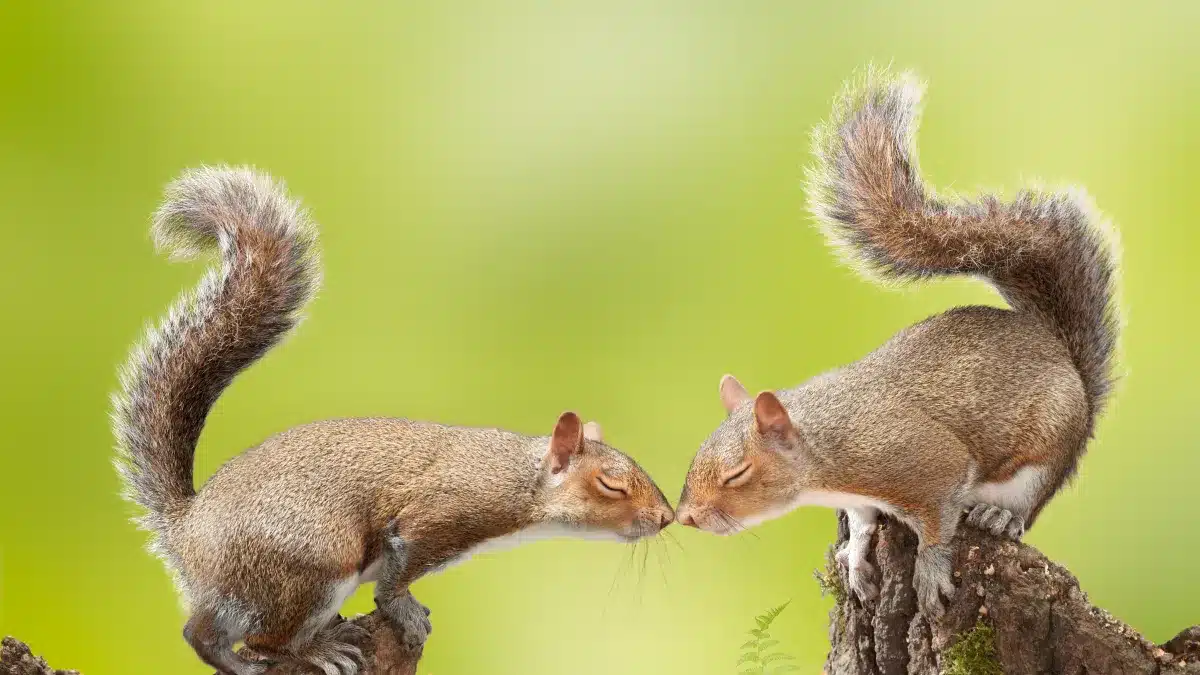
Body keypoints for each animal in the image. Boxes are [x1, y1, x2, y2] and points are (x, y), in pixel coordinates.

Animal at [111, 167, 675, 675]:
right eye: (610, 484)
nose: (667, 518)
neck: (517, 479)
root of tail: (187, 532)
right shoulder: (436, 516)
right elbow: (395, 578)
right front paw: (404, 611)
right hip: (312, 564)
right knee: (232, 635)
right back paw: (302, 652)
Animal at [674, 68, 1121, 619]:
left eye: (737, 473)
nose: (686, 516)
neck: (825, 449)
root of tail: (1061, 353)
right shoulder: (863, 500)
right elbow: (865, 526)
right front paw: (855, 560)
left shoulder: (924, 463)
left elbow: (936, 524)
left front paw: (929, 573)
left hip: (1044, 454)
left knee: (1029, 503)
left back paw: (1001, 517)